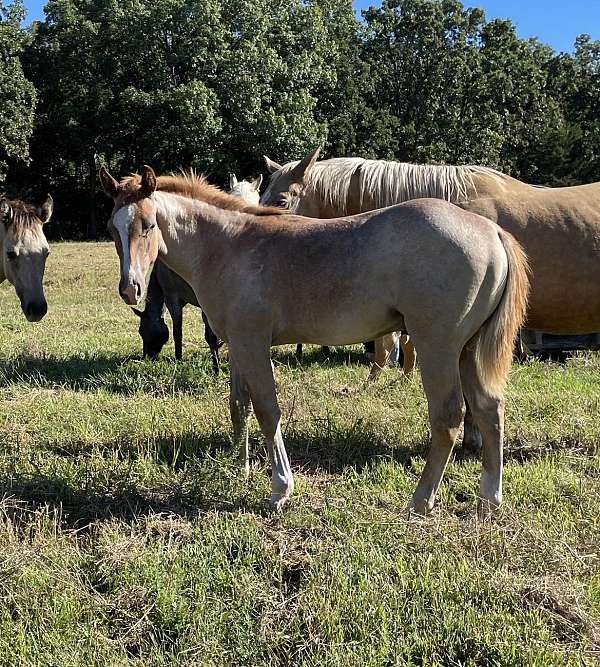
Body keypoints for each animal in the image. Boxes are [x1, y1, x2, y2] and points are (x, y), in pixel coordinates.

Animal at [101, 164, 528, 516]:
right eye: (113, 229)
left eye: (149, 224)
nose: (130, 289)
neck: (229, 245)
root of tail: (491, 231)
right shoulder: (238, 345)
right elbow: (239, 406)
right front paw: (239, 466)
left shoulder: (253, 344)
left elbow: (267, 410)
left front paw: (280, 489)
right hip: (467, 350)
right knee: (489, 410)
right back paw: (489, 498)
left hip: (438, 347)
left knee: (449, 416)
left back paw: (421, 500)